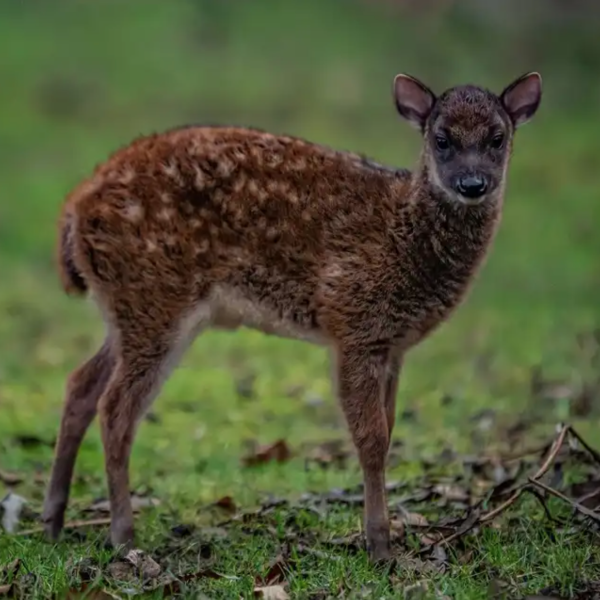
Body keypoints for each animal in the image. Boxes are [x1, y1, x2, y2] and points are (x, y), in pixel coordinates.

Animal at [42, 71, 542, 562]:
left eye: (498, 138)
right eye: (441, 139)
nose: (472, 184)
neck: (403, 235)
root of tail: (73, 209)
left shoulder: (393, 344)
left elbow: (389, 427)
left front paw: (384, 539)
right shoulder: (353, 320)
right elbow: (372, 438)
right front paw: (379, 547)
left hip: (128, 307)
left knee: (81, 384)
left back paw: (53, 521)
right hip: (154, 295)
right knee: (115, 408)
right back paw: (123, 537)